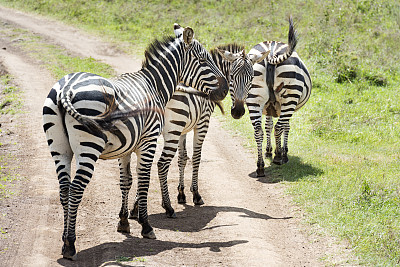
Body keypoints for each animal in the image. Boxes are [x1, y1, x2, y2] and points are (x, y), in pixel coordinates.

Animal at [42, 23, 228, 262]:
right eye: (204, 60)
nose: (224, 90)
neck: (154, 86)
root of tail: (66, 88)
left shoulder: (126, 147)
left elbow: (126, 181)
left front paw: (123, 222)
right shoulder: (148, 141)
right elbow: (144, 182)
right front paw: (146, 225)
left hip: (59, 148)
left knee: (64, 189)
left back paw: (64, 238)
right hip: (88, 147)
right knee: (75, 189)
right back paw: (70, 244)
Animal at [128, 44, 268, 220]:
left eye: (251, 78)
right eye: (232, 76)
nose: (238, 111)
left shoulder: (182, 130)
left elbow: (182, 159)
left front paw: (181, 194)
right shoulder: (202, 123)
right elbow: (196, 158)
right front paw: (195, 194)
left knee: (144, 166)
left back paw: (135, 207)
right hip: (171, 130)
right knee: (161, 164)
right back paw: (167, 207)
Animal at [247, 17, 312, 178]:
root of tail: (271, 53)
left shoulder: (269, 106)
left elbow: (267, 125)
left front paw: (268, 151)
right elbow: (286, 126)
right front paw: (283, 152)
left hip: (253, 97)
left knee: (258, 131)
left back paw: (260, 166)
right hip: (290, 98)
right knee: (279, 126)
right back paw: (278, 157)